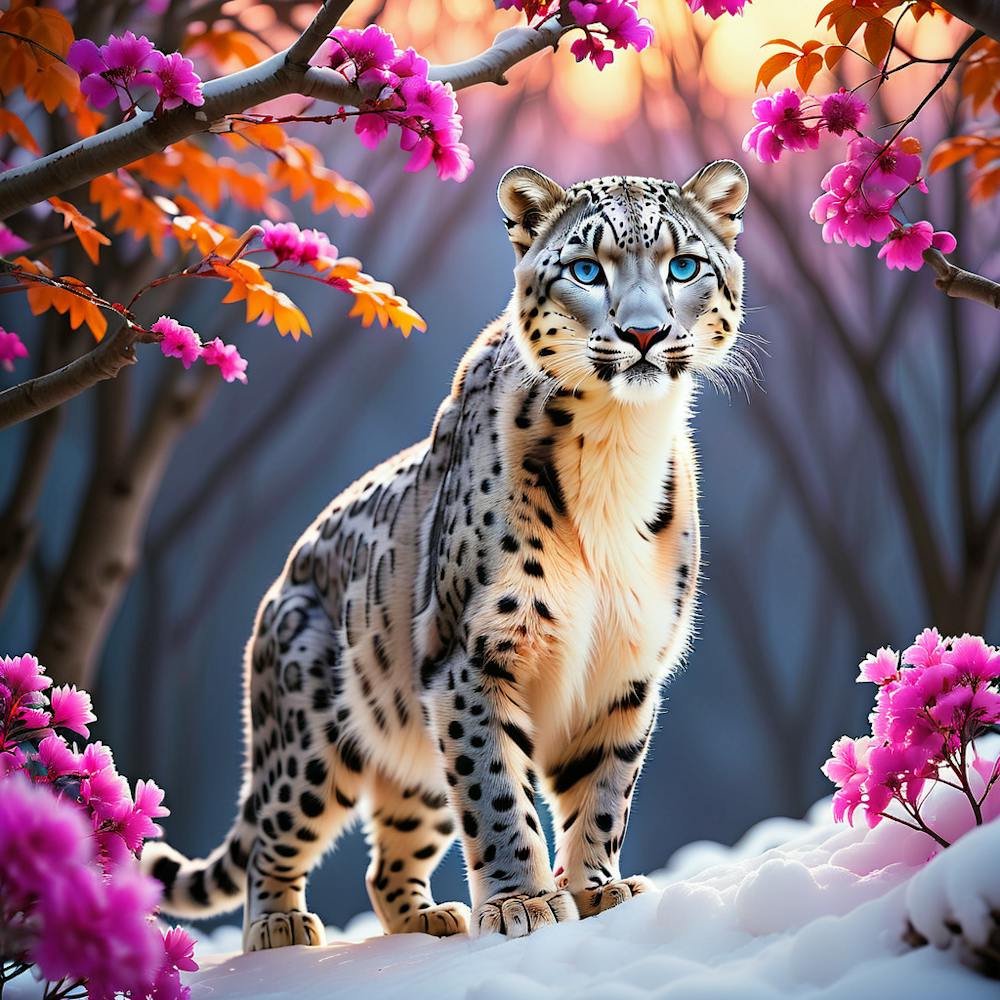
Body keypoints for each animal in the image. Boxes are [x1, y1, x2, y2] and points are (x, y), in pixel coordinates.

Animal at [142, 159, 751, 951]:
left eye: (684, 265)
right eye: (587, 269)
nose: (645, 332)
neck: (618, 444)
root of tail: (277, 592)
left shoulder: (627, 668)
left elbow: (604, 792)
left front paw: (598, 890)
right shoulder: (477, 652)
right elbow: (496, 790)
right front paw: (522, 903)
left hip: (414, 756)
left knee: (388, 855)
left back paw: (427, 918)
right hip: (310, 733)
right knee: (275, 833)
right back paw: (280, 926)